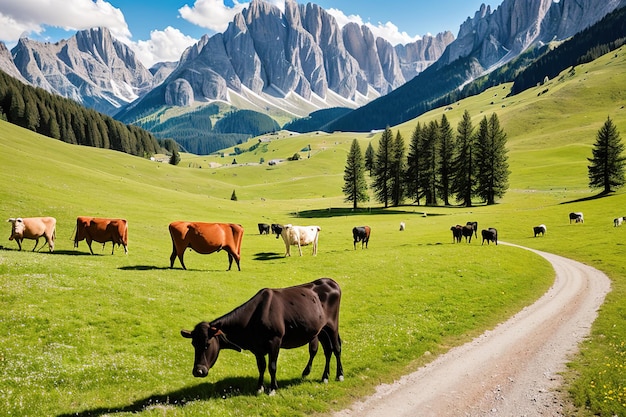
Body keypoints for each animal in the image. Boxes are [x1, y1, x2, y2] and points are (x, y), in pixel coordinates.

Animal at [180, 276, 344, 394]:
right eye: (193, 344)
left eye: (207, 344)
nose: (198, 371)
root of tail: (330, 281)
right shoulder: (257, 347)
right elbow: (261, 366)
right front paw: (260, 387)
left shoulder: (275, 341)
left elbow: (272, 366)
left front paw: (272, 388)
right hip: (320, 329)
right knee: (327, 350)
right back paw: (325, 376)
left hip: (332, 325)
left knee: (336, 348)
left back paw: (339, 375)